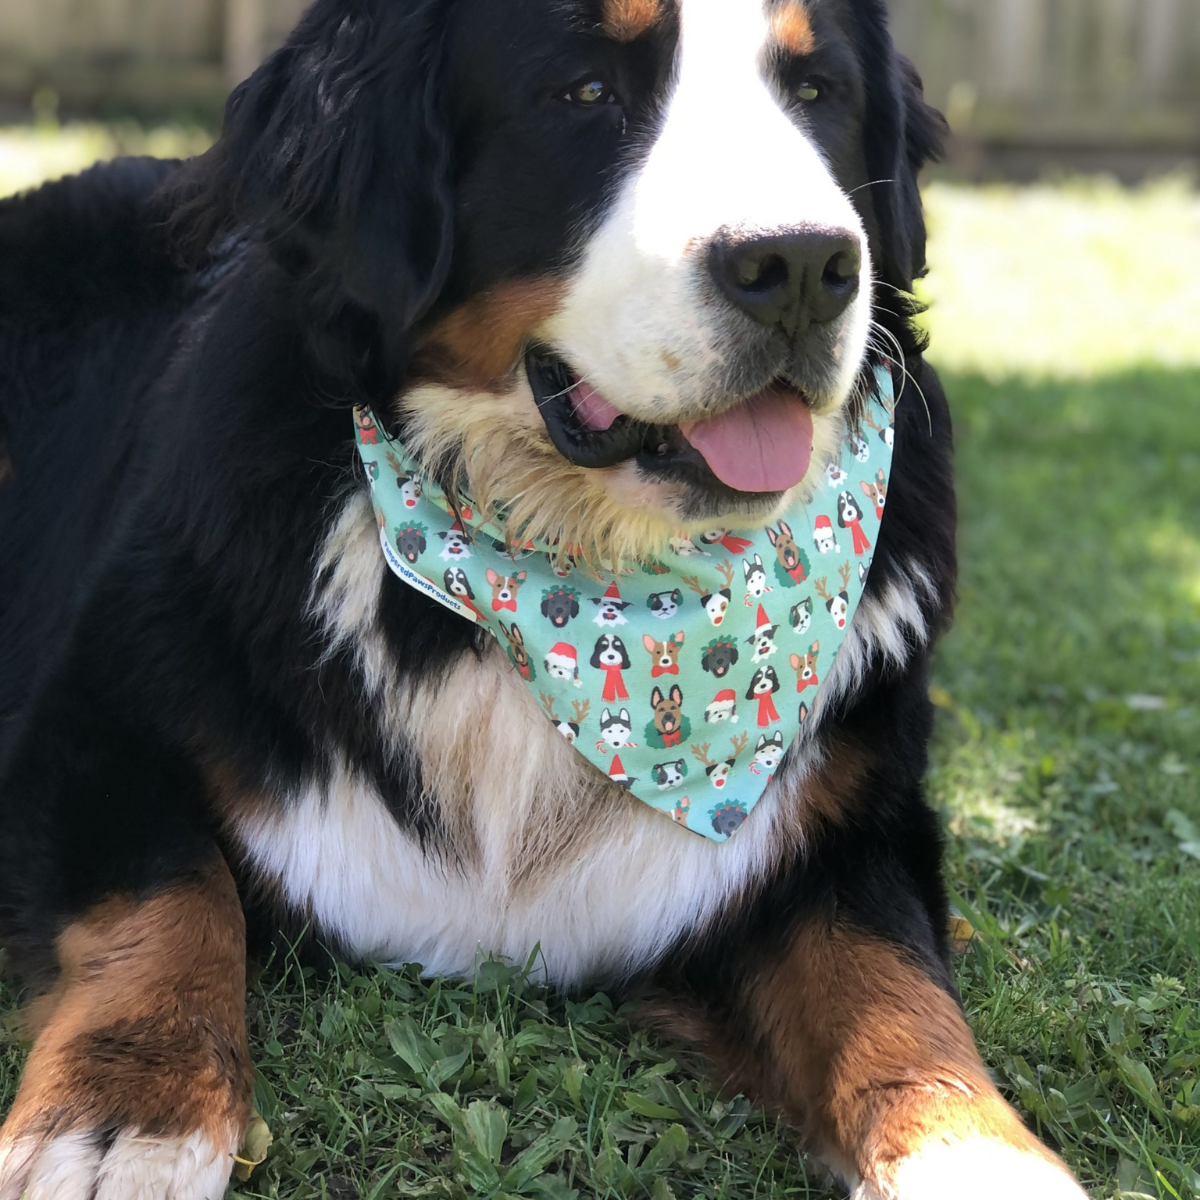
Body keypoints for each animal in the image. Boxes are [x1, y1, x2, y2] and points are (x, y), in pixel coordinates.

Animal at [0, 2, 1089, 1200]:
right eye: (585, 94)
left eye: (818, 93)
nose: (803, 263)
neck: (592, 583)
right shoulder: (95, 719)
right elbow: (168, 898)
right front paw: (123, 1114)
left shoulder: (849, 815)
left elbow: (895, 993)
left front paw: (981, 1157)